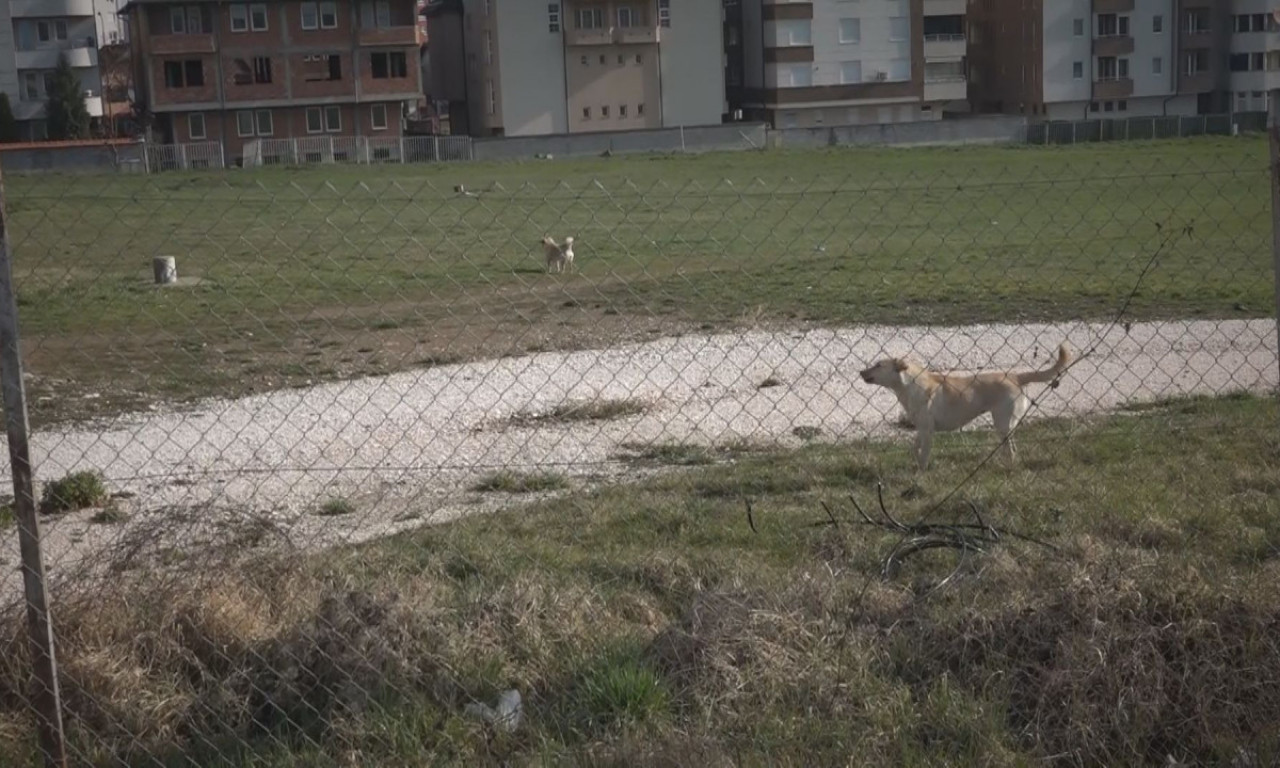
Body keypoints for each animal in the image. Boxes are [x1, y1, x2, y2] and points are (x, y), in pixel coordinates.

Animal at [860, 345, 1070, 471]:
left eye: (878, 365)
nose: (861, 372)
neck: (910, 385)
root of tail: (1014, 376)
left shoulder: (928, 431)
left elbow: (924, 456)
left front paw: (920, 474)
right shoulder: (921, 429)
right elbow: (914, 449)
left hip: (1001, 424)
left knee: (1010, 450)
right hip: (1006, 427)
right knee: (1012, 449)